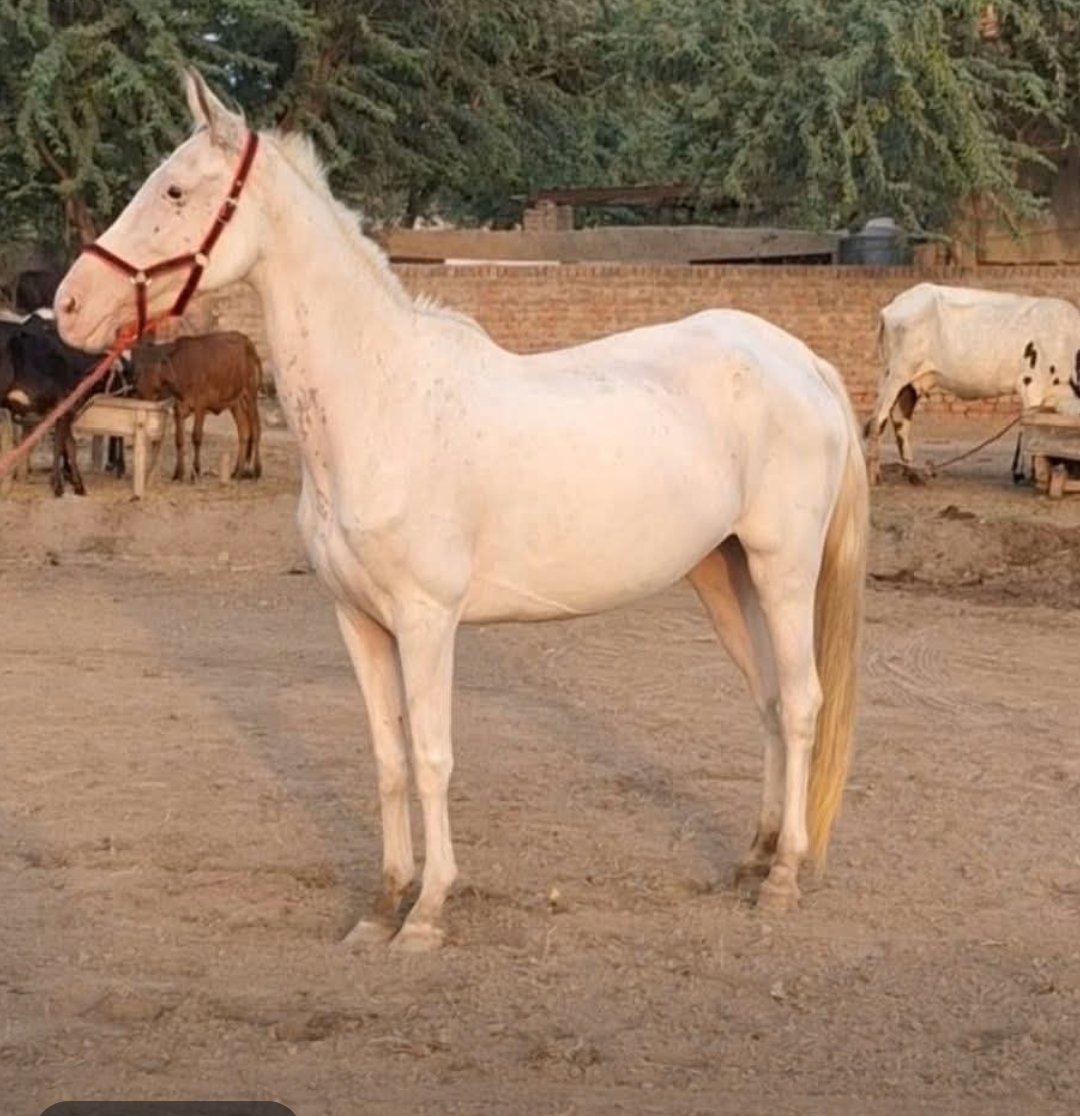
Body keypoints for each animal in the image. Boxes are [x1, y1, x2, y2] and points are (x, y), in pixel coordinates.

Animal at [55, 69, 869, 951]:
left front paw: (428, 912)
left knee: (801, 704)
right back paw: (754, 858)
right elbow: (389, 761)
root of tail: (801, 361)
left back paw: (783, 877)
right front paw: (382, 906)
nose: (69, 305)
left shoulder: (426, 620)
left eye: (174, 189)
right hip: (724, 574)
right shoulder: (359, 621)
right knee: (767, 699)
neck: (383, 401)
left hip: (783, 570)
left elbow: (434, 756)